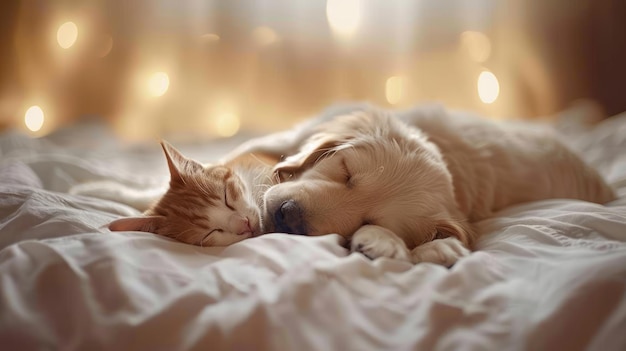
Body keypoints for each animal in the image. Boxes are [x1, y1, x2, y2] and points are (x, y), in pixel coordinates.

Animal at [222, 104, 612, 266]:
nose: (286, 215)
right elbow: (240, 154)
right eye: (345, 171)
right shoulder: (294, 135)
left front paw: (417, 246)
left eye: (368, 221)